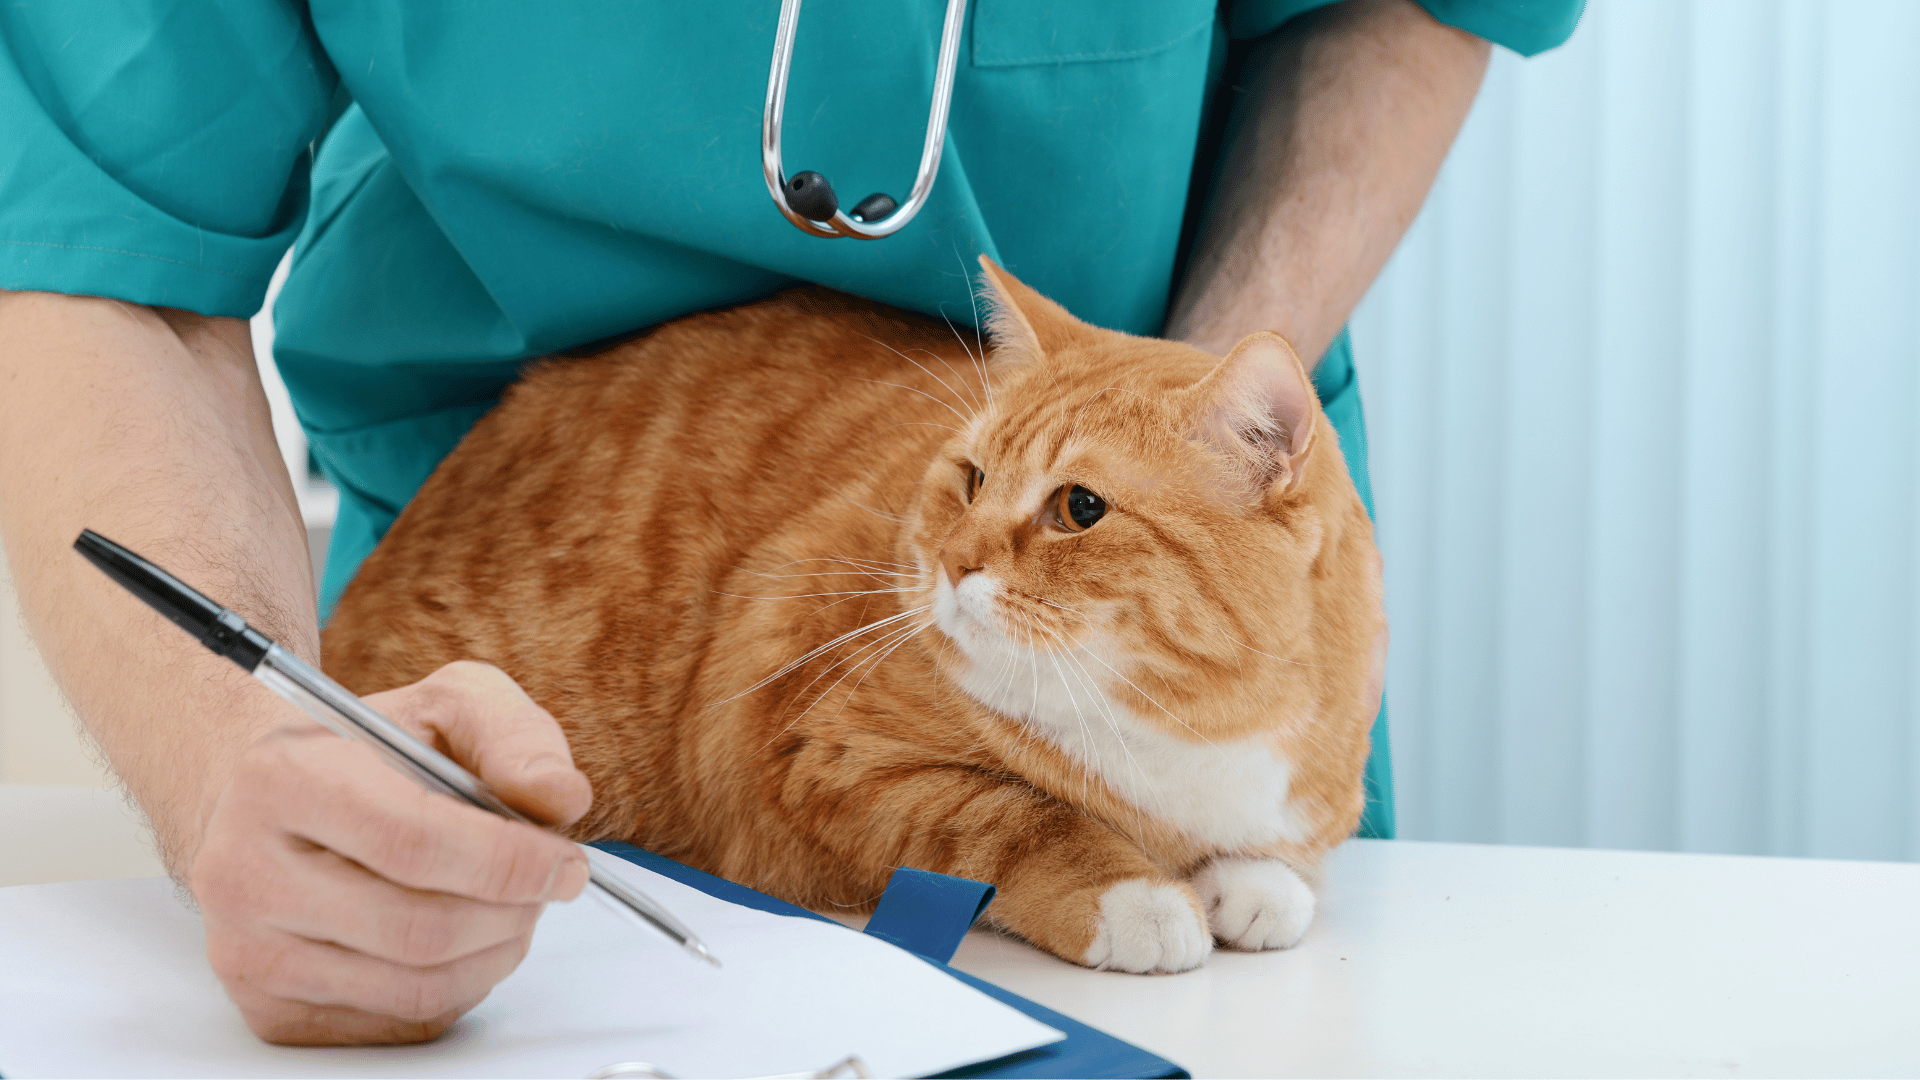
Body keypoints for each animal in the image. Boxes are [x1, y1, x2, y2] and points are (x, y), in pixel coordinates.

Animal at [322, 259, 1390, 968]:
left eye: (1080, 508)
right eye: (973, 479)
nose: (954, 563)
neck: (1179, 737)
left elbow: (1282, 861)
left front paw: (1256, 880)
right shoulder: (814, 757)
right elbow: (1013, 814)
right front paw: (1137, 897)